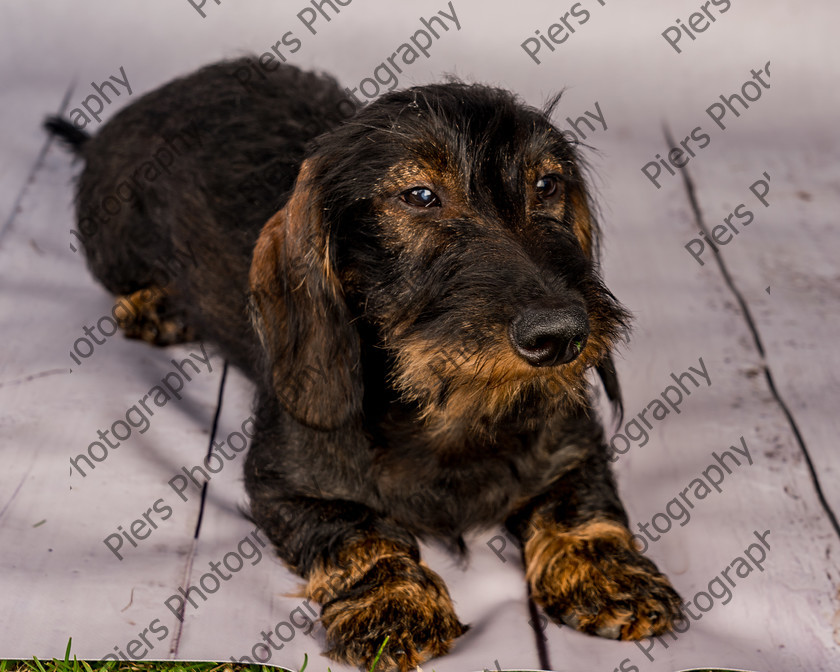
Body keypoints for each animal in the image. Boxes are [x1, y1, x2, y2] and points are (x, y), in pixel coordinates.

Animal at [46, 57, 684, 672]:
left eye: (548, 184)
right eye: (420, 196)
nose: (561, 336)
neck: (449, 404)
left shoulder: (574, 444)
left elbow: (579, 501)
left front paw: (608, 572)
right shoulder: (288, 485)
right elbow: (359, 533)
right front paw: (392, 603)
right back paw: (153, 305)